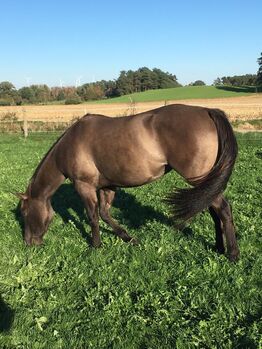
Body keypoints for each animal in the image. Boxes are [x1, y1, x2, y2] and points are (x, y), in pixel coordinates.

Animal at [16, 104, 239, 260]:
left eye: (24, 213)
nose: (28, 243)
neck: (71, 145)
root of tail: (207, 110)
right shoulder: (107, 186)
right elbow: (105, 214)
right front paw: (129, 238)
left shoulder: (84, 186)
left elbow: (93, 217)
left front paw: (95, 246)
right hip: (206, 184)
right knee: (213, 210)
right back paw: (219, 247)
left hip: (199, 179)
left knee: (223, 209)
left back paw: (233, 254)